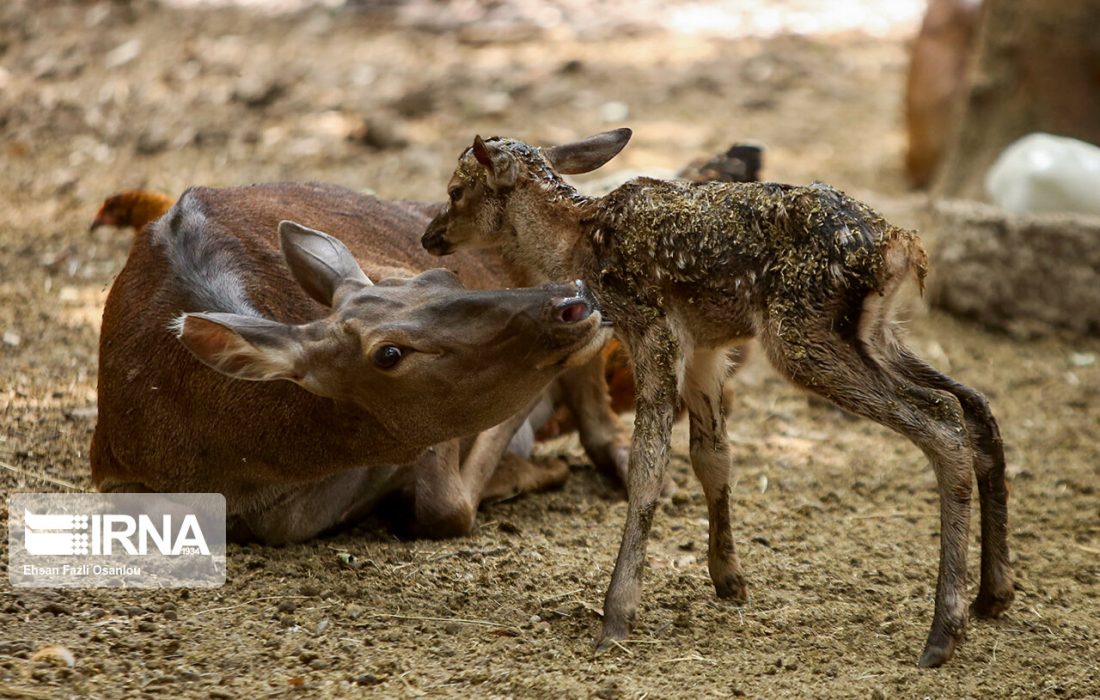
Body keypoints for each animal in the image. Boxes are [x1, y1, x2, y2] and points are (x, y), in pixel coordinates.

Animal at [91, 180, 616, 541]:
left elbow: (445, 502)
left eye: (444, 278)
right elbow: (444, 504)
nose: (568, 302)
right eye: (389, 354)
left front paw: (536, 468)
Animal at [420, 127, 1012, 669]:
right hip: (877, 334)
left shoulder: (652, 329)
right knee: (975, 405)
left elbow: (649, 467)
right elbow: (713, 457)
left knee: (942, 421)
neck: (578, 243)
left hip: (800, 336)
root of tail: (900, 246)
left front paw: (616, 617)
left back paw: (943, 633)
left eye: (455, 189)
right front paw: (728, 578)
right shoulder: (705, 348)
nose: (430, 236)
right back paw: (993, 595)